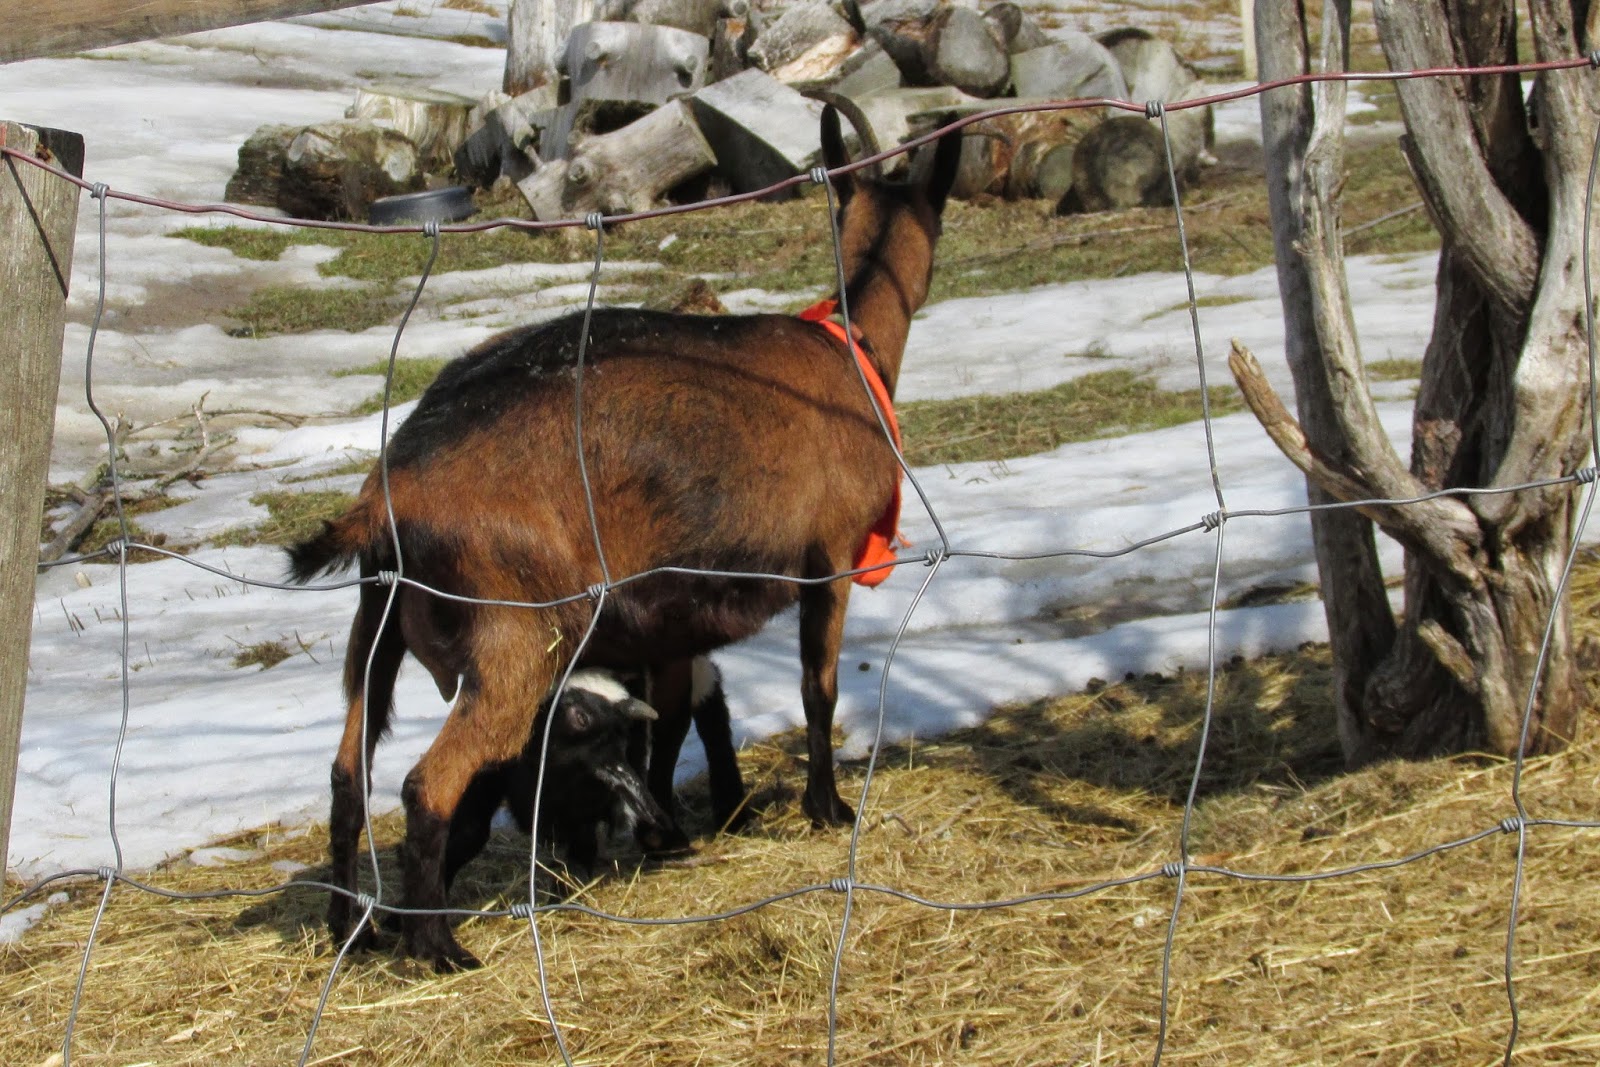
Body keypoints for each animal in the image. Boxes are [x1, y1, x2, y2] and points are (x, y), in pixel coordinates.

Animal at [286, 107, 962, 970]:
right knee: (425, 783)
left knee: (348, 773)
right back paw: (437, 945)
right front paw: (828, 807)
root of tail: (388, 493)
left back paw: (353, 926)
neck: (848, 347)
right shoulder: (831, 562)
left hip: (377, 625)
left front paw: (667, 828)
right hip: (515, 640)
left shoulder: (671, 615)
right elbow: (819, 689)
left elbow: (668, 721)